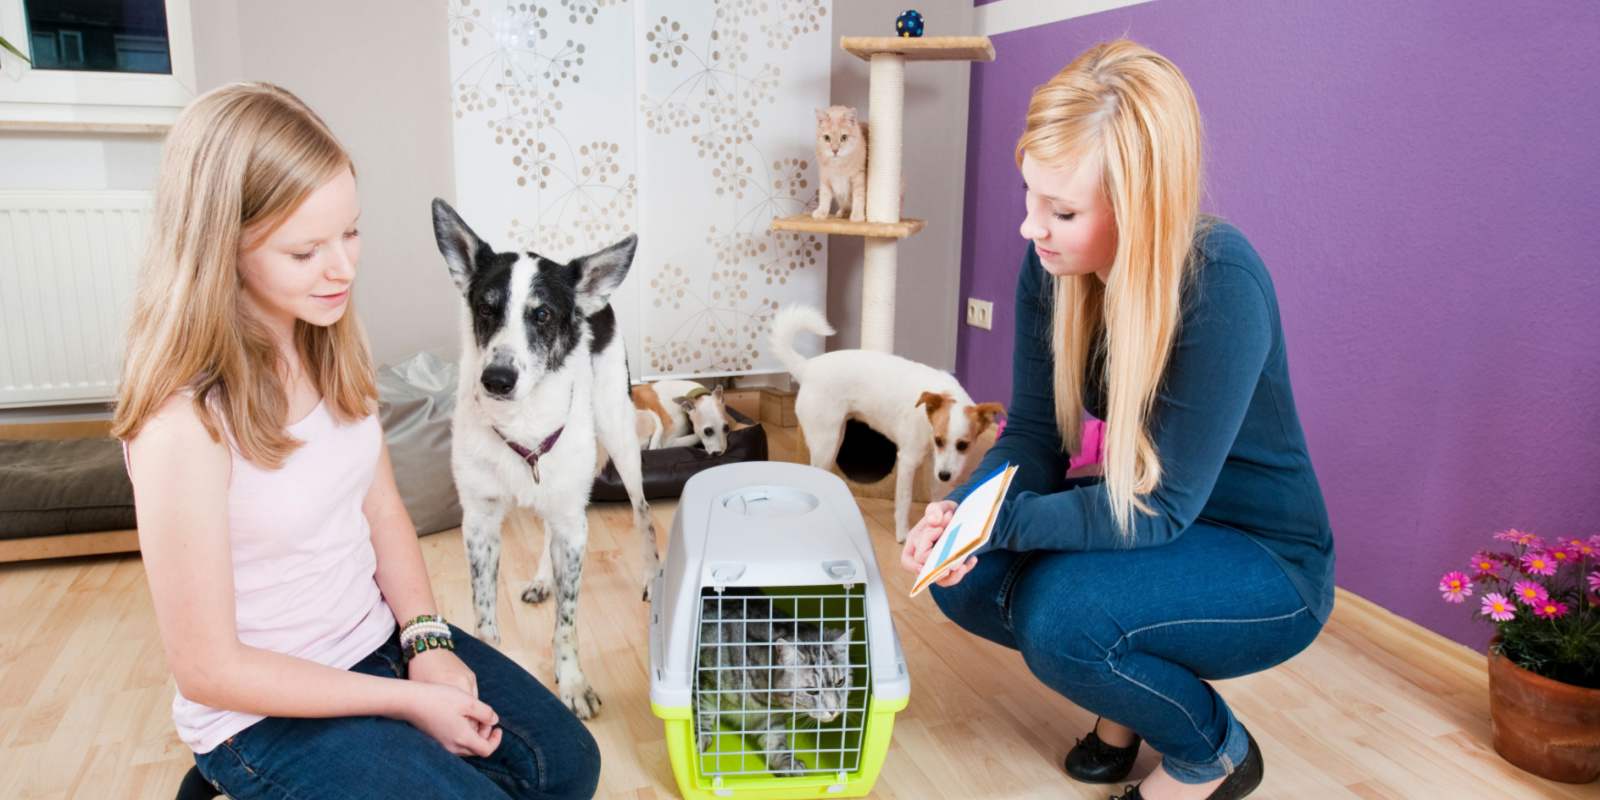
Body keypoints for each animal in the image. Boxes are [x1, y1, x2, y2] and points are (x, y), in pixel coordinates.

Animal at [428, 198, 659, 720]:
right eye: (486, 308)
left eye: (544, 315)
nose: (496, 379)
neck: (521, 423)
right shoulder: (480, 522)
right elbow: (484, 609)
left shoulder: (573, 523)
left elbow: (567, 623)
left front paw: (572, 682)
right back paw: (541, 578)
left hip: (620, 438)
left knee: (643, 515)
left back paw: (652, 576)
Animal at [761, 305, 998, 544]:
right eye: (939, 440)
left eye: (963, 445)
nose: (946, 476)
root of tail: (807, 367)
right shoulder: (908, 461)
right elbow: (904, 501)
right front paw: (903, 535)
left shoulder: (936, 465)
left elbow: (938, 497)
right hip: (825, 444)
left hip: (836, 439)